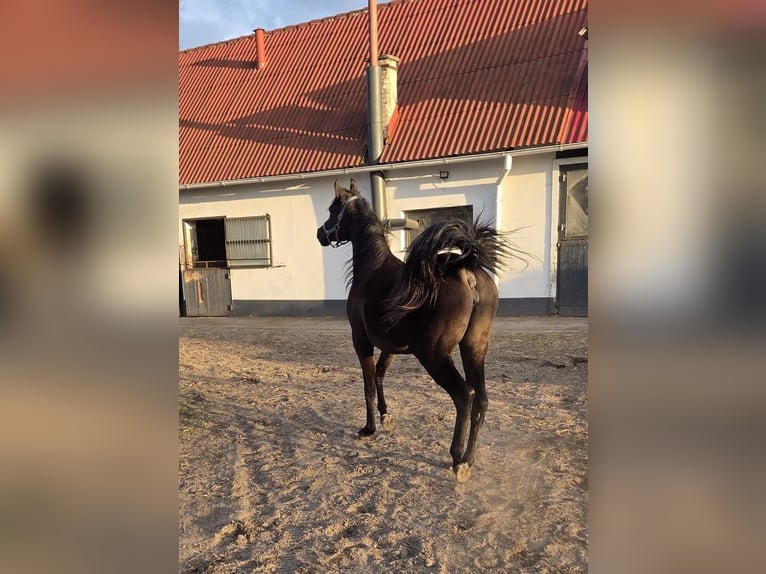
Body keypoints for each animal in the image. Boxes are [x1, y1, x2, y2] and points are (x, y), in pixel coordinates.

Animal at [316, 179, 514, 482]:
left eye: (331, 209)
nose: (320, 234)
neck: (372, 267)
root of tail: (464, 269)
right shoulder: (391, 347)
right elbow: (380, 376)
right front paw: (386, 418)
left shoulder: (361, 340)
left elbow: (368, 383)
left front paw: (369, 428)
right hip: (474, 348)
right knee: (481, 400)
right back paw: (469, 459)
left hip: (435, 356)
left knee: (464, 396)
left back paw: (457, 459)